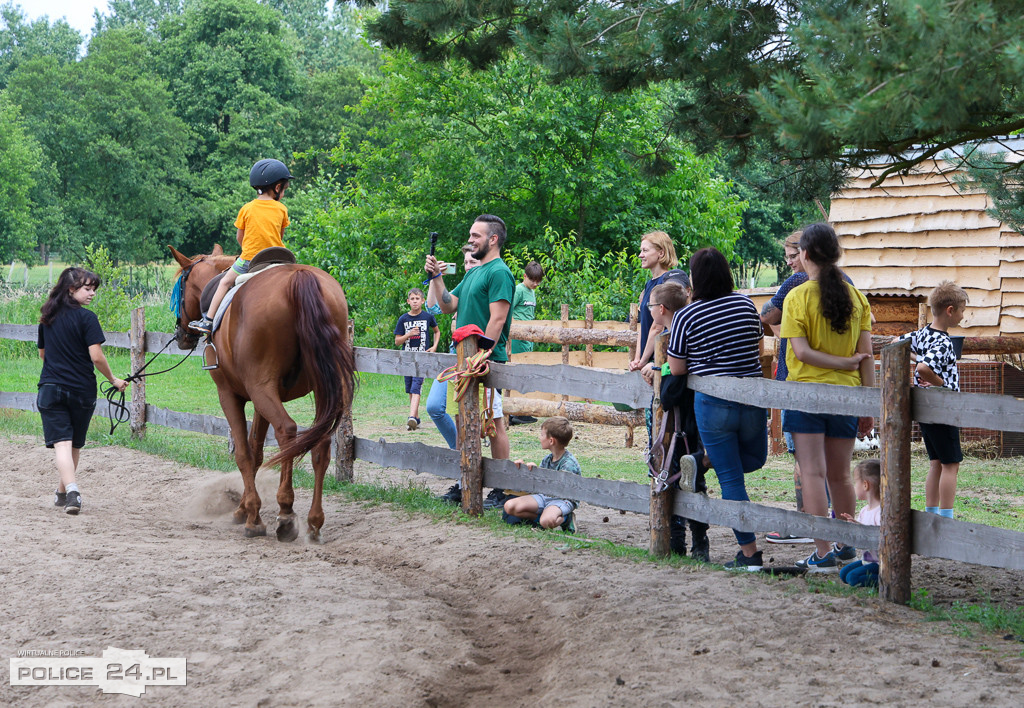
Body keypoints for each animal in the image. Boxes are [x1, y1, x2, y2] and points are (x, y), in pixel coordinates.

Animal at [169, 246, 354, 540]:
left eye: (181, 288)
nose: (180, 335)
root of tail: (299, 277)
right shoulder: (260, 400)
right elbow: (256, 451)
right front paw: (243, 509)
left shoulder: (230, 394)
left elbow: (244, 453)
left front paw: (252, 516)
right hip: (321, 388)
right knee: (320, 444)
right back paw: (314, 521)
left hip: (262, 388)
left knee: (287, 431)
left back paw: (286, 512)